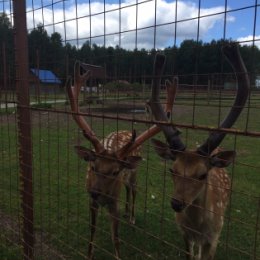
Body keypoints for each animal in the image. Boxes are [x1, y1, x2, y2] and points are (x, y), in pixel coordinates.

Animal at [66, 55, 175, 260]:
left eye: (115, 171)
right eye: (93, 166)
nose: (95, 192)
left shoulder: (112, 201)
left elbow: (115, 237)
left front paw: (118, 254)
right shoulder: (92, 202)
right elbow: (92, 230)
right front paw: (89, 254)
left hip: (135, 171)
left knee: (133, 190)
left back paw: (131, 216)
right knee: (127, 189)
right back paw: (126, 212)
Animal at [150, 45, 250, 260]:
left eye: (203, 174)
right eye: (172, 170)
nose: (176, 203)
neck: (198, 227)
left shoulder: (214, 237)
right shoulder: (184, 232)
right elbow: (190, 254)